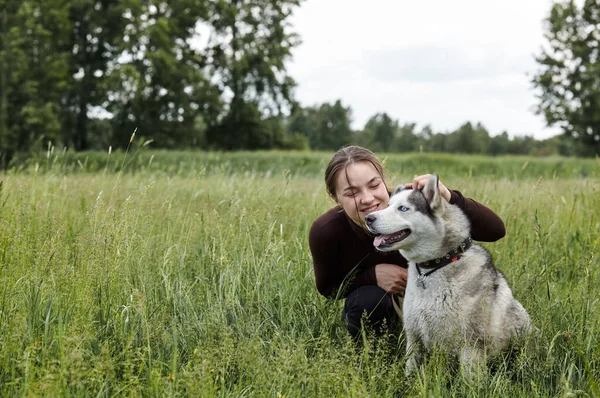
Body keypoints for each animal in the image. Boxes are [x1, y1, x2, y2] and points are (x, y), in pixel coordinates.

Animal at [364, 176, 532, 378]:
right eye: (387, 205)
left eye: (403, 208)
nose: (368, 218)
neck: (437, 264)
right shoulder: (414, 337)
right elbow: (410, 370)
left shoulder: (470, 347)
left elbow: (469, 382)